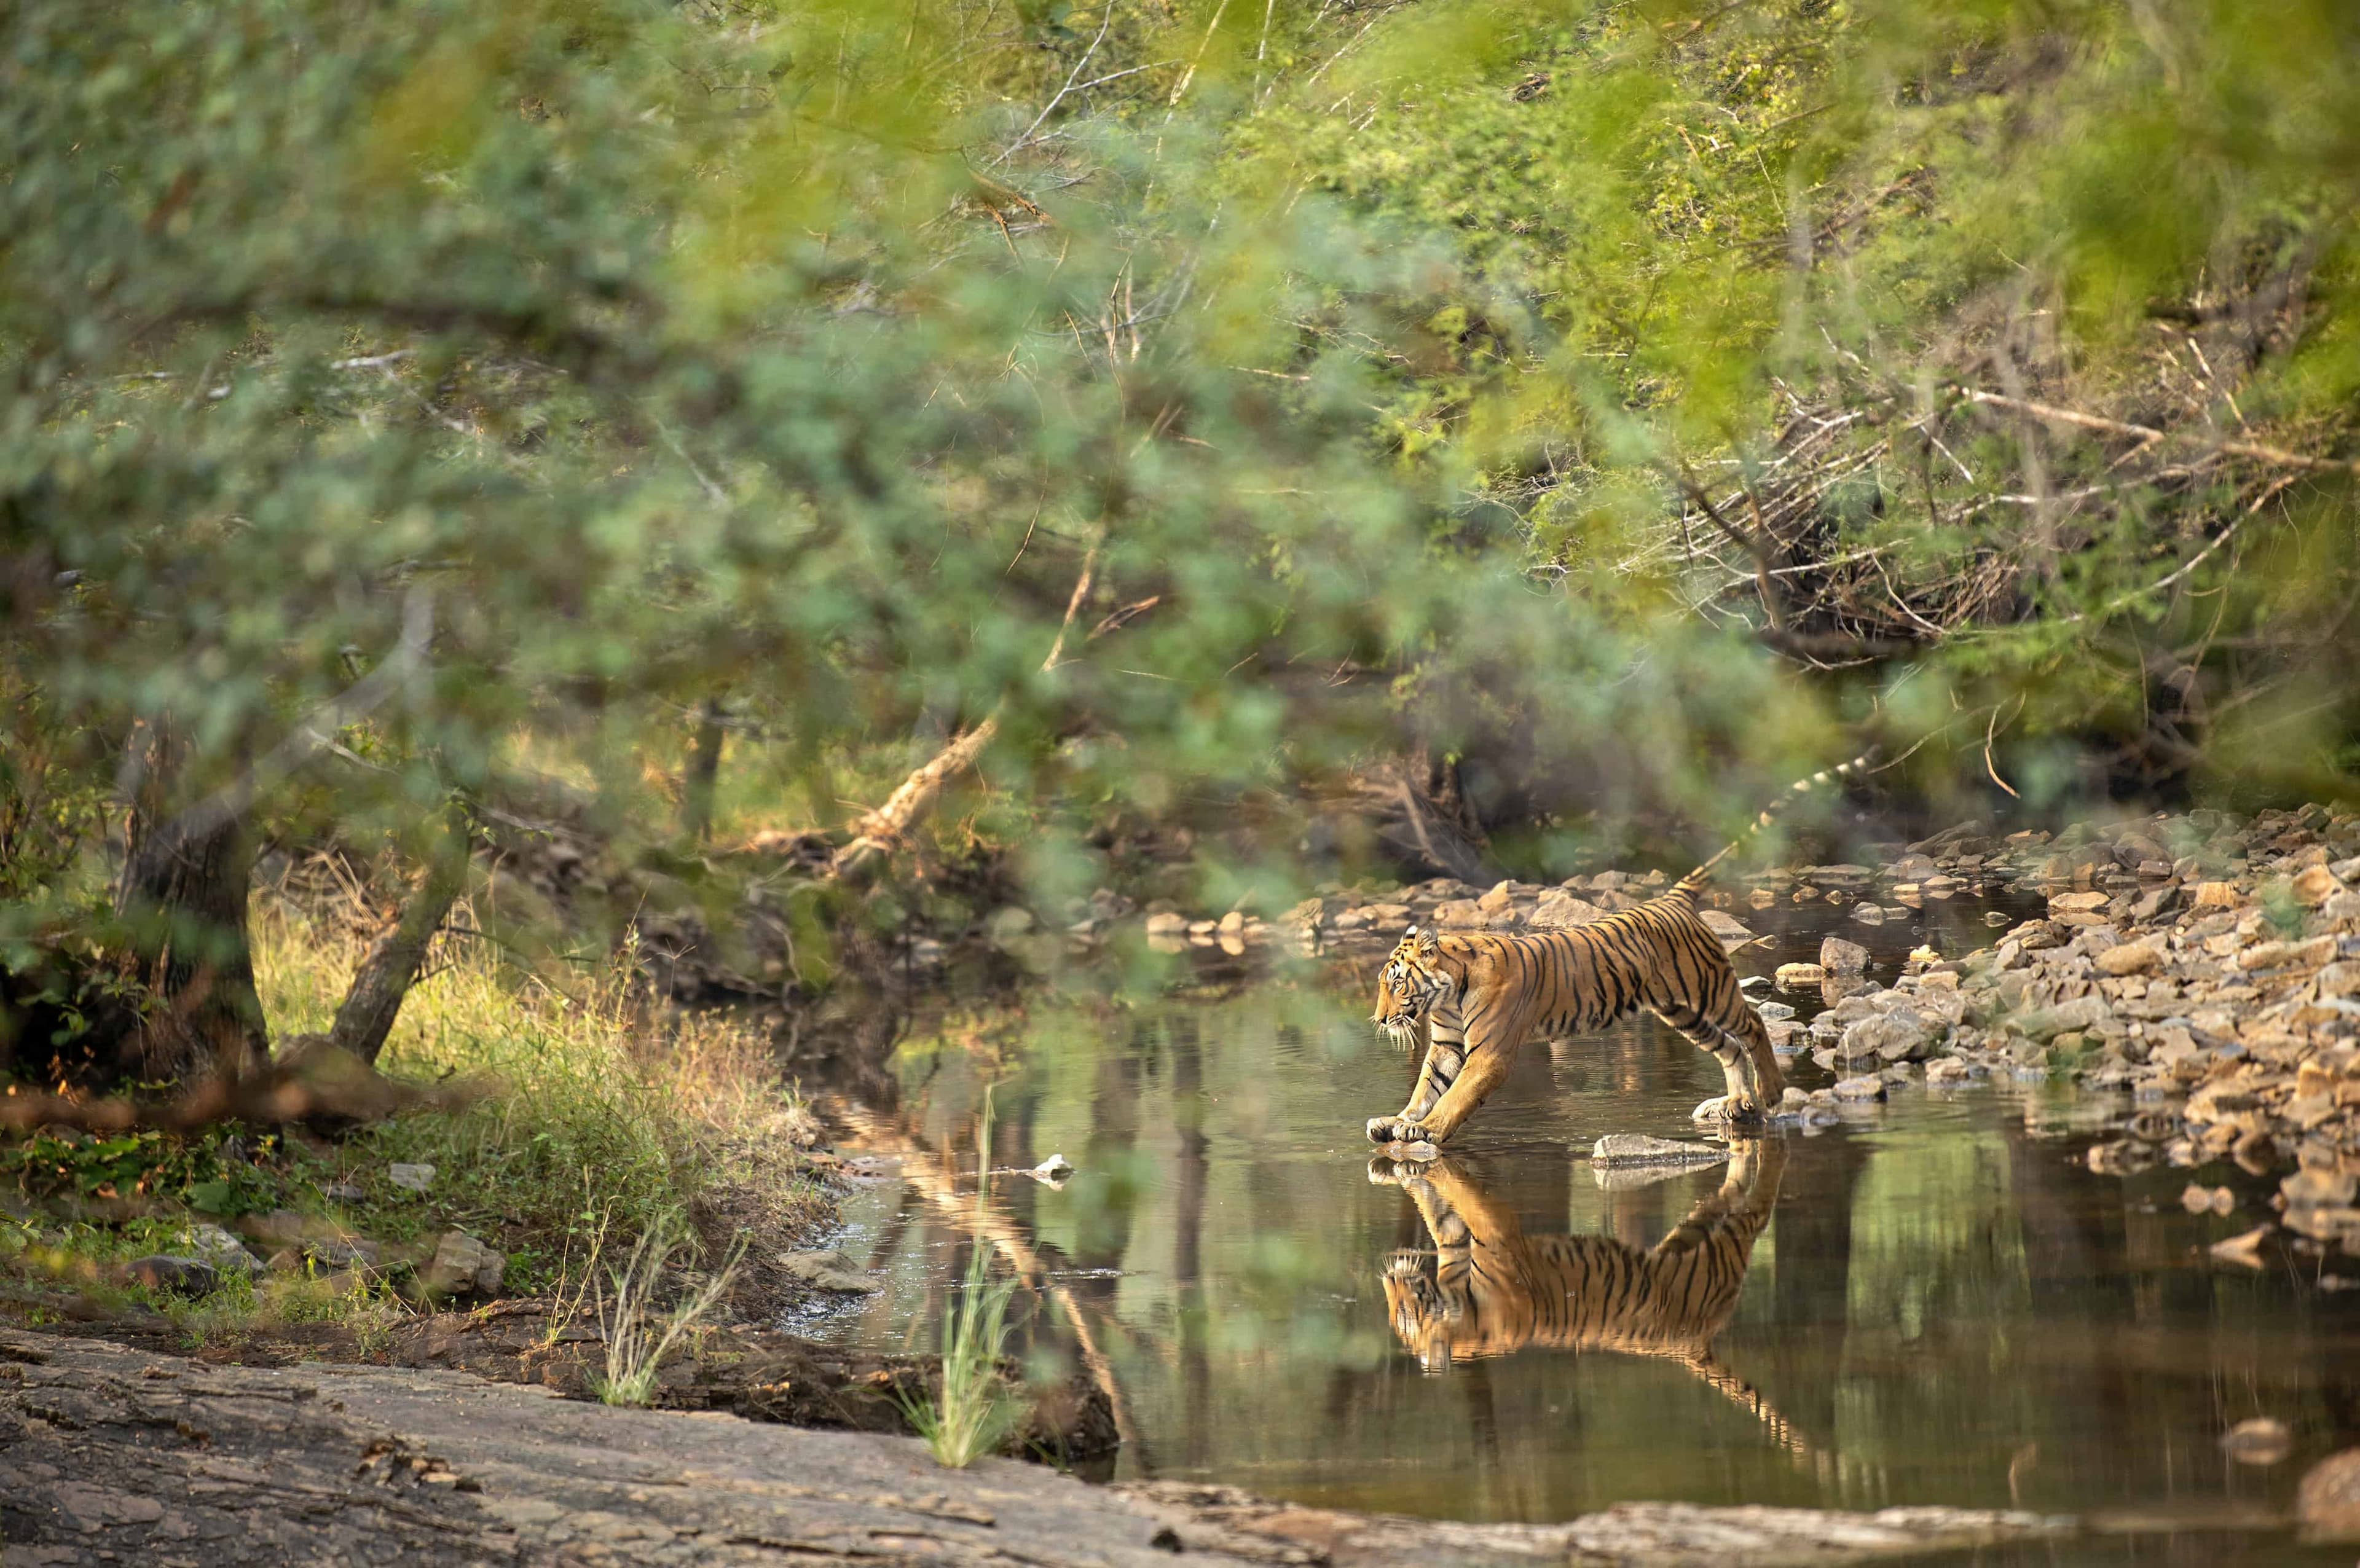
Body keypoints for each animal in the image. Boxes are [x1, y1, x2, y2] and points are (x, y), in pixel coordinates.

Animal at [1366, 753, 1871, 1147]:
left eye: (1397, 983)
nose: (1378, 1020)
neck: (1446, 994)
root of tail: (1672, 898)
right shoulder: (1447, 1045)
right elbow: (1426, 1089)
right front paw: (1396, 1121)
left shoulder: (1489, 1053)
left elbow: (1454, 1097)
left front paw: (1428, 1130)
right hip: (1680, 1010)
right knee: (1728, 1046)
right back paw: (1740, 1103)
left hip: (1710, 992)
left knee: (1752, 1025)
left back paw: (1769, 1093)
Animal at [1371, 1141, 1814, 1460]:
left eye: (1404, 1315)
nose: (1388, 1278)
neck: (1466, 1316)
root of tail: (1692, 1345)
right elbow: (1440, 1212)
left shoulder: (1497, 1233)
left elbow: (1464, 1199)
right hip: (1695, 1236)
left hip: (1725, 1249)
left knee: (1756, 1211)